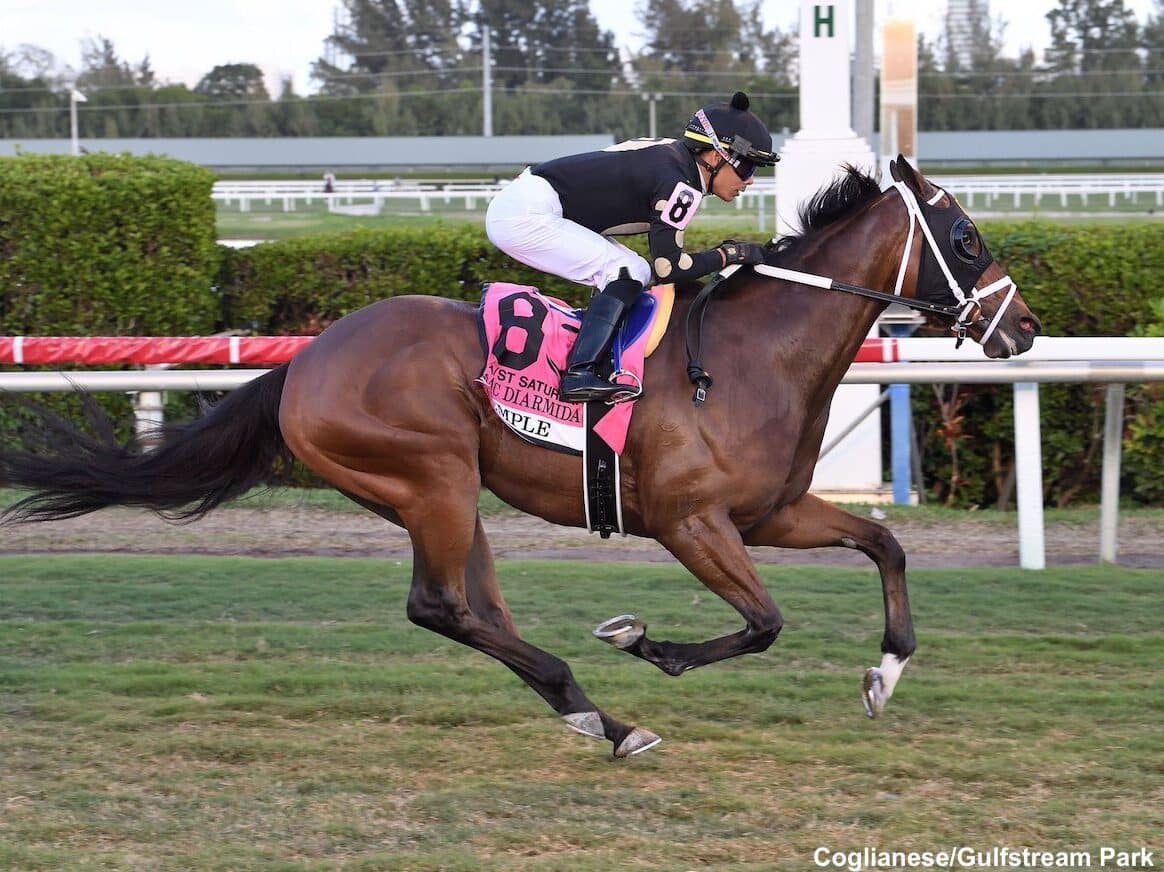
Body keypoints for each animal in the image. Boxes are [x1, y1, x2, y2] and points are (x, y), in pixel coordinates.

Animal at [0, 158, 1038, 754]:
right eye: (965, 235)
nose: (1023, 328)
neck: (752, 356)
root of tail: (302, 362)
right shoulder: (690, 522)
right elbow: (765, 622)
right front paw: (646, 643)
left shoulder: (770, 512)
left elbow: (884, 546)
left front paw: (884, 675)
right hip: (432, 477)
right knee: (437, 606)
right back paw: (595, 706)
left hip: (450, 493)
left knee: (475, 607)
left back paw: (594, 716)